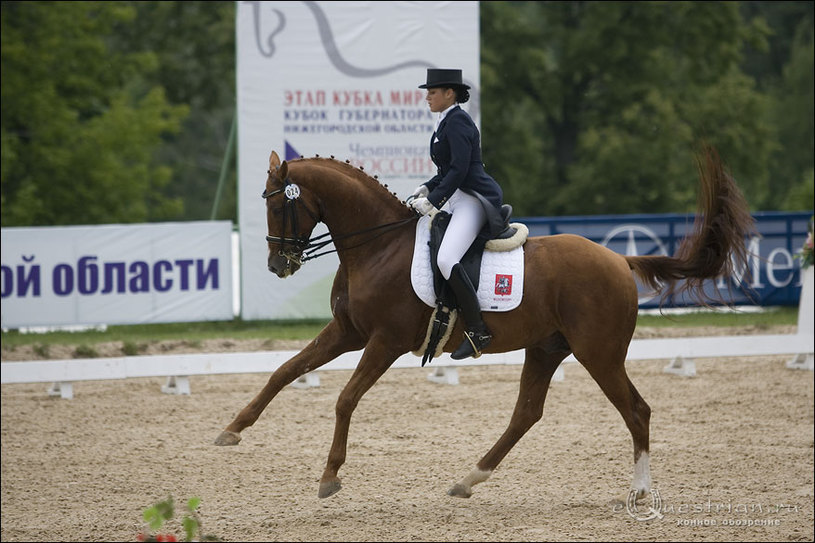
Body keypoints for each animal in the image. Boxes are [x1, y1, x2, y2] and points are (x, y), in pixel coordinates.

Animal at [215, 146, 752, 502]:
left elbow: (346, 398)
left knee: (636, 411)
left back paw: (639, 493)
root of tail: (619, 260)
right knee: (526, 414)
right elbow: (284, 370)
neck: (376, 246)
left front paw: (329, 476)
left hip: (598, 353)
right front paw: (232, 430)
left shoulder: (384, 341)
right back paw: (469, 479)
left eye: (277, 203)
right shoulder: (348, 332)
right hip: (547, 348)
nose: (278, 266)